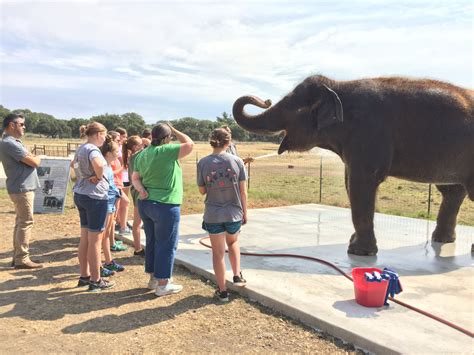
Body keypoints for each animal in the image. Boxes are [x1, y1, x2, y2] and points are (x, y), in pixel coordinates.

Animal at [231, 74, 472, 256]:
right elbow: (350, 183)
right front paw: (354, 245)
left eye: (290, 107)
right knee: (452, 191)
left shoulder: (368, 135)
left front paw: (358, 252)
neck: (339, 86)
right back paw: (442, 240)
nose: (266, 100)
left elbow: (361, 183)